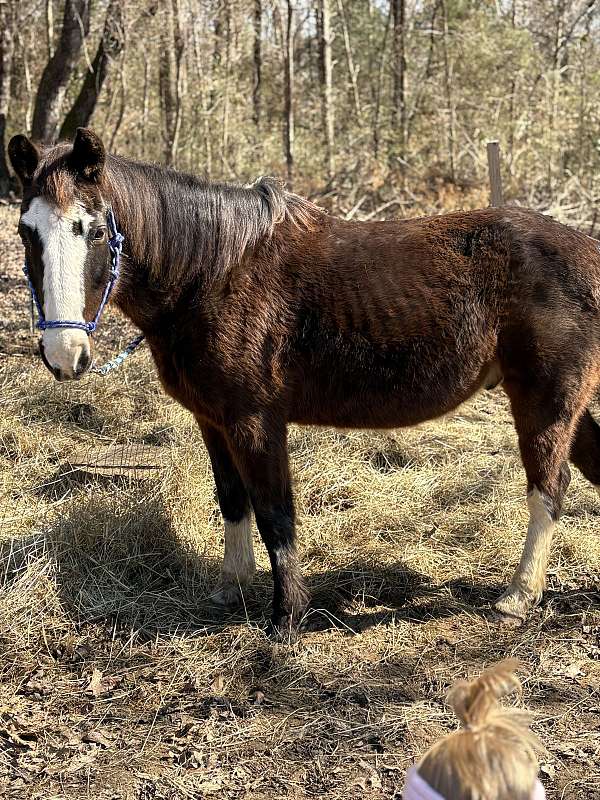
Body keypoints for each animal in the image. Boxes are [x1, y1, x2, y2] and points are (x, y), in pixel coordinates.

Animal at [8, 126, 600, 636]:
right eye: (25, 231)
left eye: (92, 229)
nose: (64, 354)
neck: (214, 275)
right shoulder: (212, 420)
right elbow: (233, 500)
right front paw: (232, 588)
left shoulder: (254, 421)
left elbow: (275, 512)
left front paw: (286, 616)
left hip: (545, 402)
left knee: (549, 488)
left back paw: (518, 596)